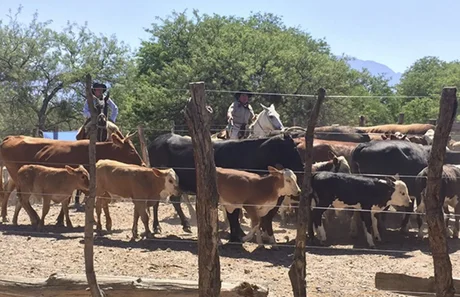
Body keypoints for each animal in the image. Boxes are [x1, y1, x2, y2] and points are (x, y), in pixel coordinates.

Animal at [0, 132, 144, 222]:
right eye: (131, 150)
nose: (143, 164)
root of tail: (10, 138)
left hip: (15, 177)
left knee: (8, 191)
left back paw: (6, 216)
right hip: (18, 176)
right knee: (21, 197)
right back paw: (33, 218)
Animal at [148, 131, 306, 240]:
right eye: (292, 149)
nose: (302, 167)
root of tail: (158, 140)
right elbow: (234, 214)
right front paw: (237, 234)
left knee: (174, 200)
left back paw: (185, 225)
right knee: (156, 202)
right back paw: (157, 226)